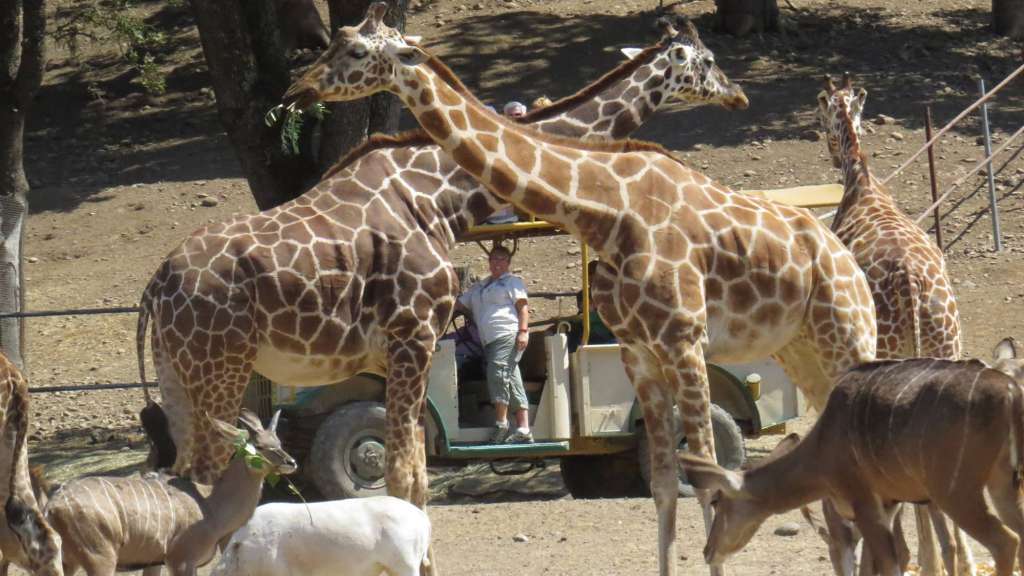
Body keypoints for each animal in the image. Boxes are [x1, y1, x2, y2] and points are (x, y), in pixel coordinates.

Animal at [48, 407, 296, 573]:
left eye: (279, 442)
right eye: (261, 447)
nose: (291, 462)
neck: (211, 506)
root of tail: (53, 506)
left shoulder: (154, 563)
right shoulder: (181, 560)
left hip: (67, 561)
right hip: (100, 558)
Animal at [134, 5, 745, 532]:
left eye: (352, 48)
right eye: (708, 60)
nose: (735, 94)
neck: (442, 198)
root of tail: (157, 285)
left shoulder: (406, 348)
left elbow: (413, 475)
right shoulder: (414, 336)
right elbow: (404, 474)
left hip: (179, 373)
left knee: (183, 475)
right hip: (222, 367)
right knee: (207, 474)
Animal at [284, 5, 876, 573]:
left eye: (356, 50)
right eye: (342, 43)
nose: (299, 88)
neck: (609, 208)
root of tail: (845, 257)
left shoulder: (685, 341)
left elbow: (708, 482)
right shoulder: (641, 351)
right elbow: (665, 488)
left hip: (843, 339)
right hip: (803, 353)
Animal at [815, 75, 966, 573]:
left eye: (820, 110)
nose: (827, 150)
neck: (861, 179)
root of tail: (914, 289)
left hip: (888, 356)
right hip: (947, 347)